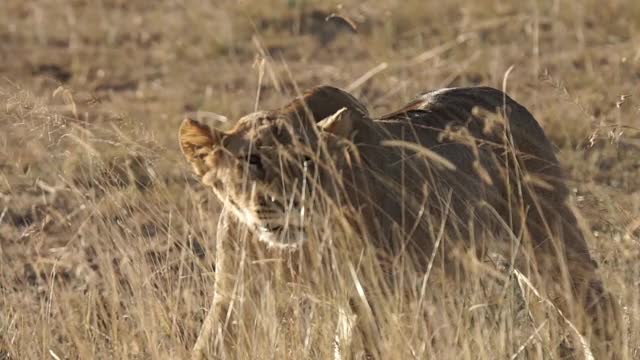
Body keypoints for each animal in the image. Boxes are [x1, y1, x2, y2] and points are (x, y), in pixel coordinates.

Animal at [179, 84, 620, 358]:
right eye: (251, 160)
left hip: (549, 242)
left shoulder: (378, 298)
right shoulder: (236, 298)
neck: (299, 249)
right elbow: (211, 344)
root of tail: (503, 96)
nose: (288, 201)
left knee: (599, 312)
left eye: (308, 161)